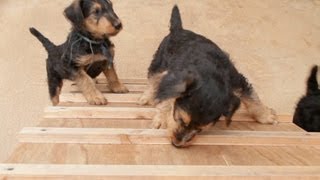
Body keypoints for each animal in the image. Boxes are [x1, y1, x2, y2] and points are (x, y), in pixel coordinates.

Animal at [140, 5, 278, 148]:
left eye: (200, 129)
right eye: (181, 120)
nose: (177, 143)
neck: (210, 72)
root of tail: (178, 29)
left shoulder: (237, 81)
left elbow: (252, 97)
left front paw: (266, 116)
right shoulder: (175, 78)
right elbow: (166, 100)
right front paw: (161, 120)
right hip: (159, 61)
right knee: (153, 78)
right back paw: (147, 97)